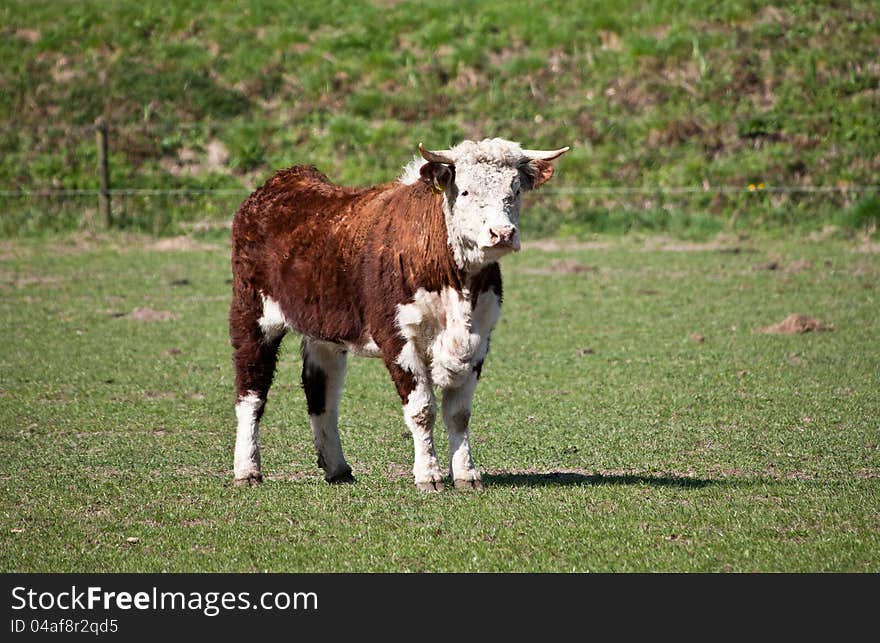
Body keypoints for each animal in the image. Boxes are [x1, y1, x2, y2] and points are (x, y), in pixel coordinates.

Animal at [230, 138, 568, 490]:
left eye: (514, 190)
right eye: (464, 191)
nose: (502, 233)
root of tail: (282, 182)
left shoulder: (480, 338)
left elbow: (459, 413)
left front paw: (466, 473)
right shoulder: (397, 339)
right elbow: (422, 409)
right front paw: (429, 475)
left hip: (323, 331)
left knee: (321, 393)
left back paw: (337, 467)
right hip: (251, 316)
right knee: (251, 392)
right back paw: (247, 469)